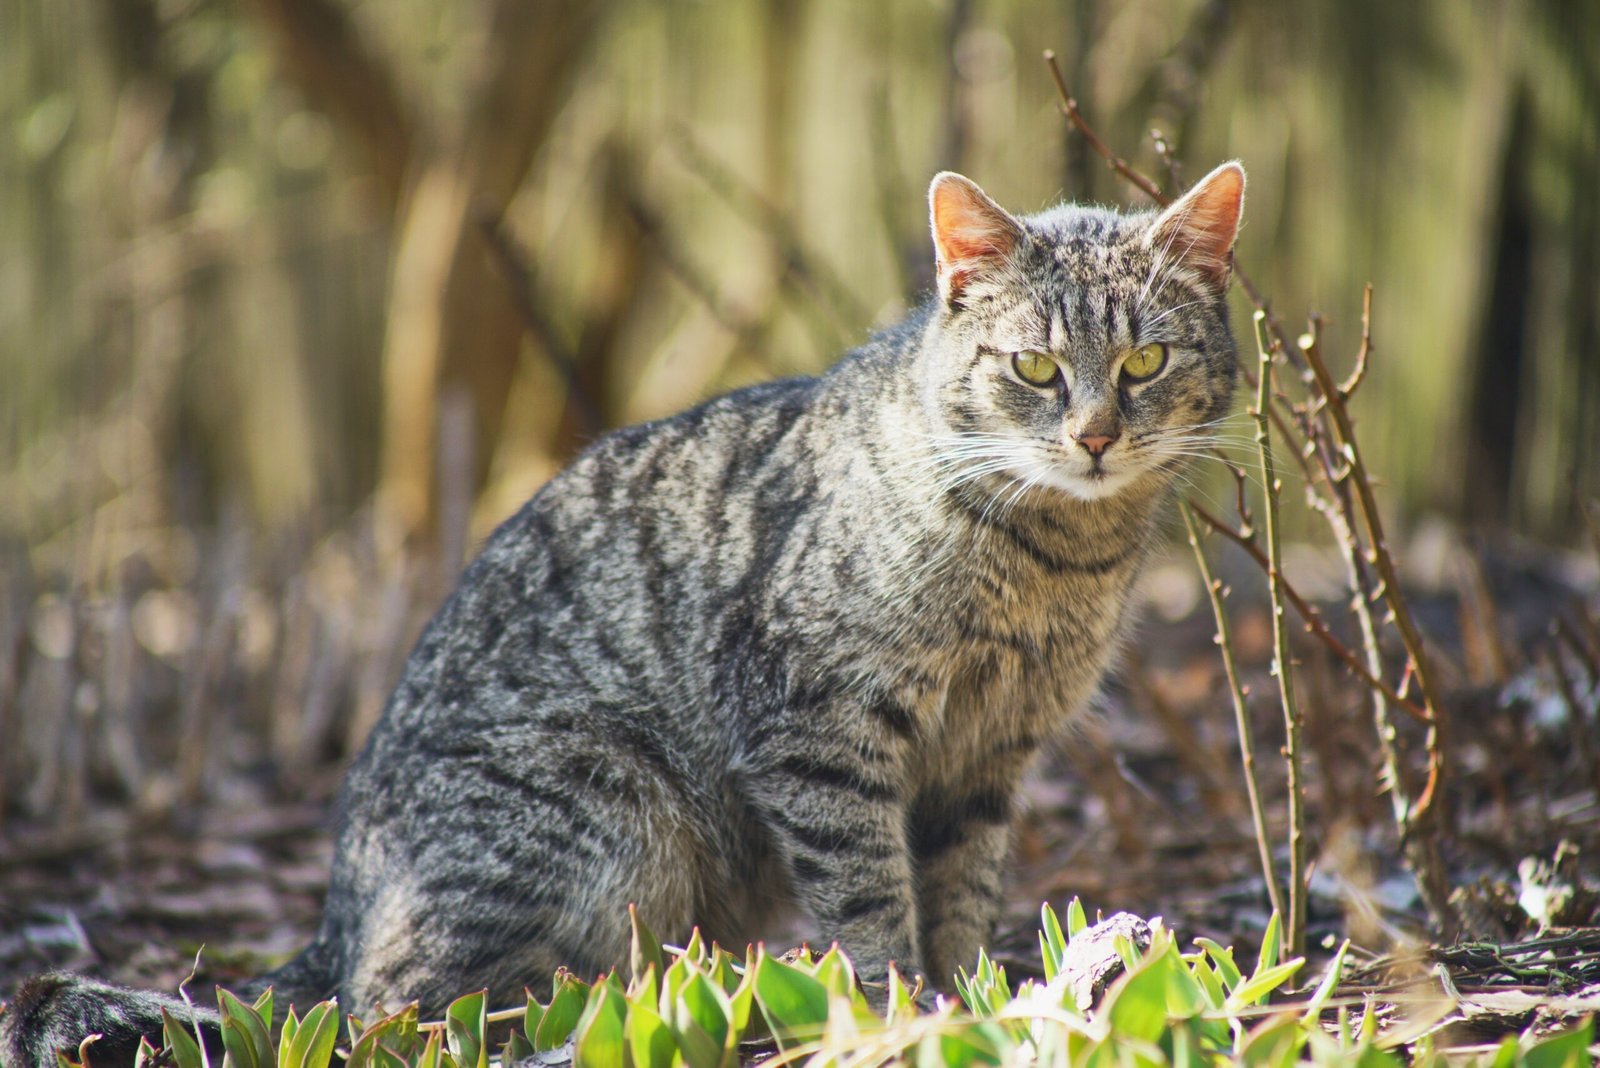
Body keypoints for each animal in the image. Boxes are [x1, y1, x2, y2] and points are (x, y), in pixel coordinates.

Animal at [0, 158, 1241, 1068]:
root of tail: (333, 912)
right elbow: (867, 898)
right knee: (393, 1012)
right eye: (1033, 367)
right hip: (607, 808)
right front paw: (898, 1014)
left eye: (1144, 360)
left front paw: (971, 1002)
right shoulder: (815, 727)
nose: (1093, 435)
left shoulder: (989, 757)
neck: (1056, 559)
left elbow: (960, 898)